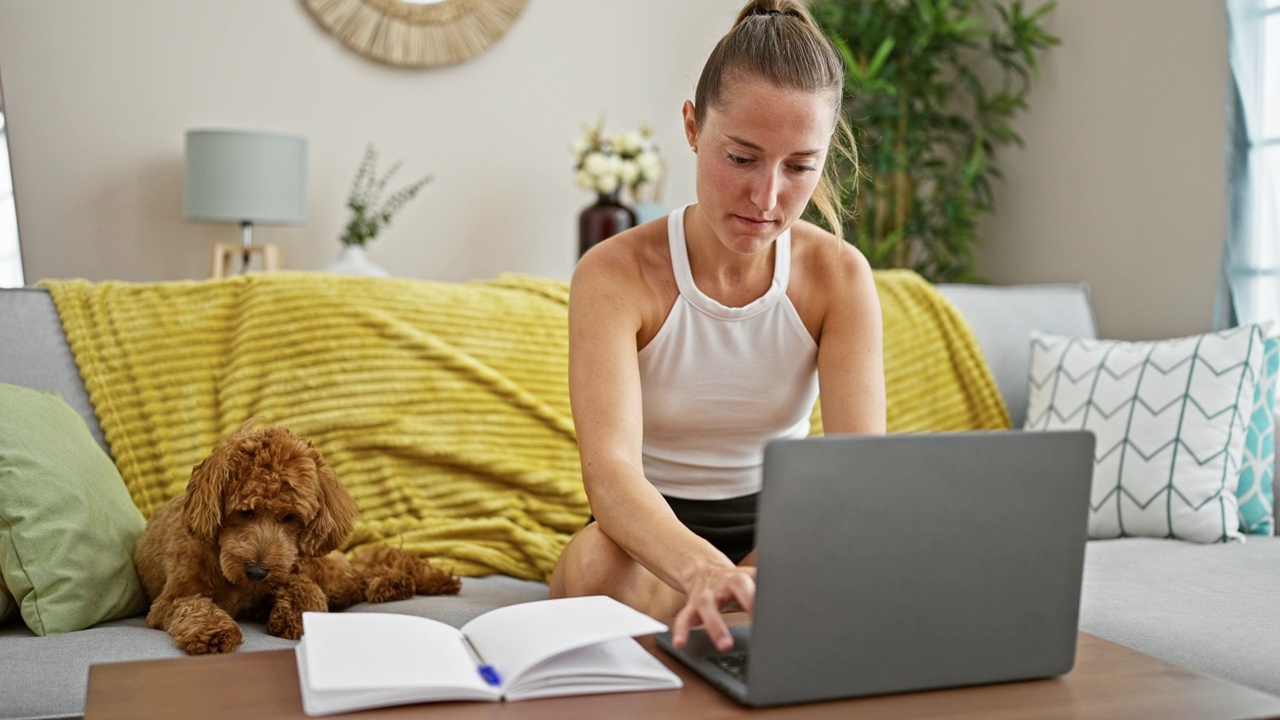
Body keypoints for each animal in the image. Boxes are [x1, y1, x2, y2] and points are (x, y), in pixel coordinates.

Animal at [135, 417, 463, 653]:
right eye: (244, 511)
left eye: (290, 518)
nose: (257, 572)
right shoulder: (168, 602)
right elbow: (195, 606)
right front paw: (215, 631)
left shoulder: (289, 569)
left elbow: (304, 589)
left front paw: (297, 616)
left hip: (319, 565)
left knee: (357, 576)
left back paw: (395, 583)